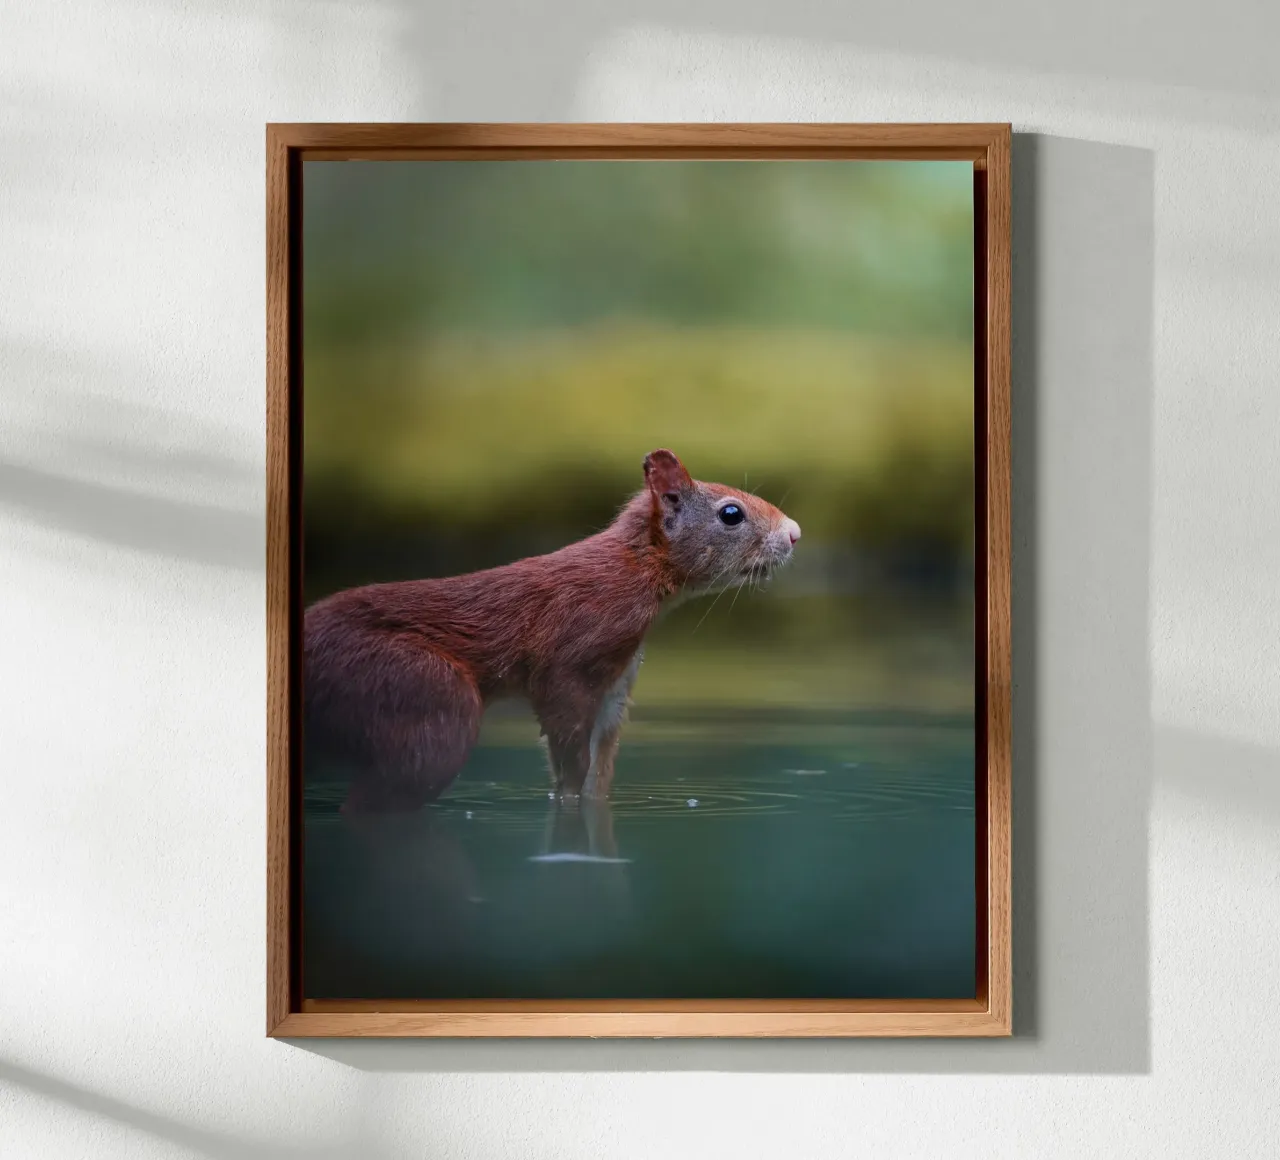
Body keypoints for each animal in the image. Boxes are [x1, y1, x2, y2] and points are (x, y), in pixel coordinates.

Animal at [303, 449, 801, 813]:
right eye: (731, 513)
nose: (794, 533)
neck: (635, 571)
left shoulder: (617, 682)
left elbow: (599, 768)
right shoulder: (571, 655)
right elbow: (568, 749)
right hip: (419, 693)